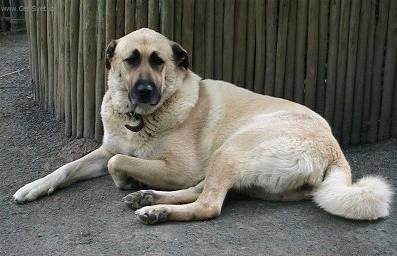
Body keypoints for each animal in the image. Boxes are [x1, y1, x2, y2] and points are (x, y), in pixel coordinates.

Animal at [13, 28, 392, 224]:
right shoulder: (107, 148)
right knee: (203, 190)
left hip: (233, 148)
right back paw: (148, 198)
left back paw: (155, 209)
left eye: (159, 62)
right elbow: (67, 168)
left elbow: (118, 163)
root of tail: (335, 149)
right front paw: (33, 187)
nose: (145, 90)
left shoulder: (176, 167)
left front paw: (126, 180)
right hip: (233, 163)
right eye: (131, 60)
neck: (142, 117)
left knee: (209, 204)